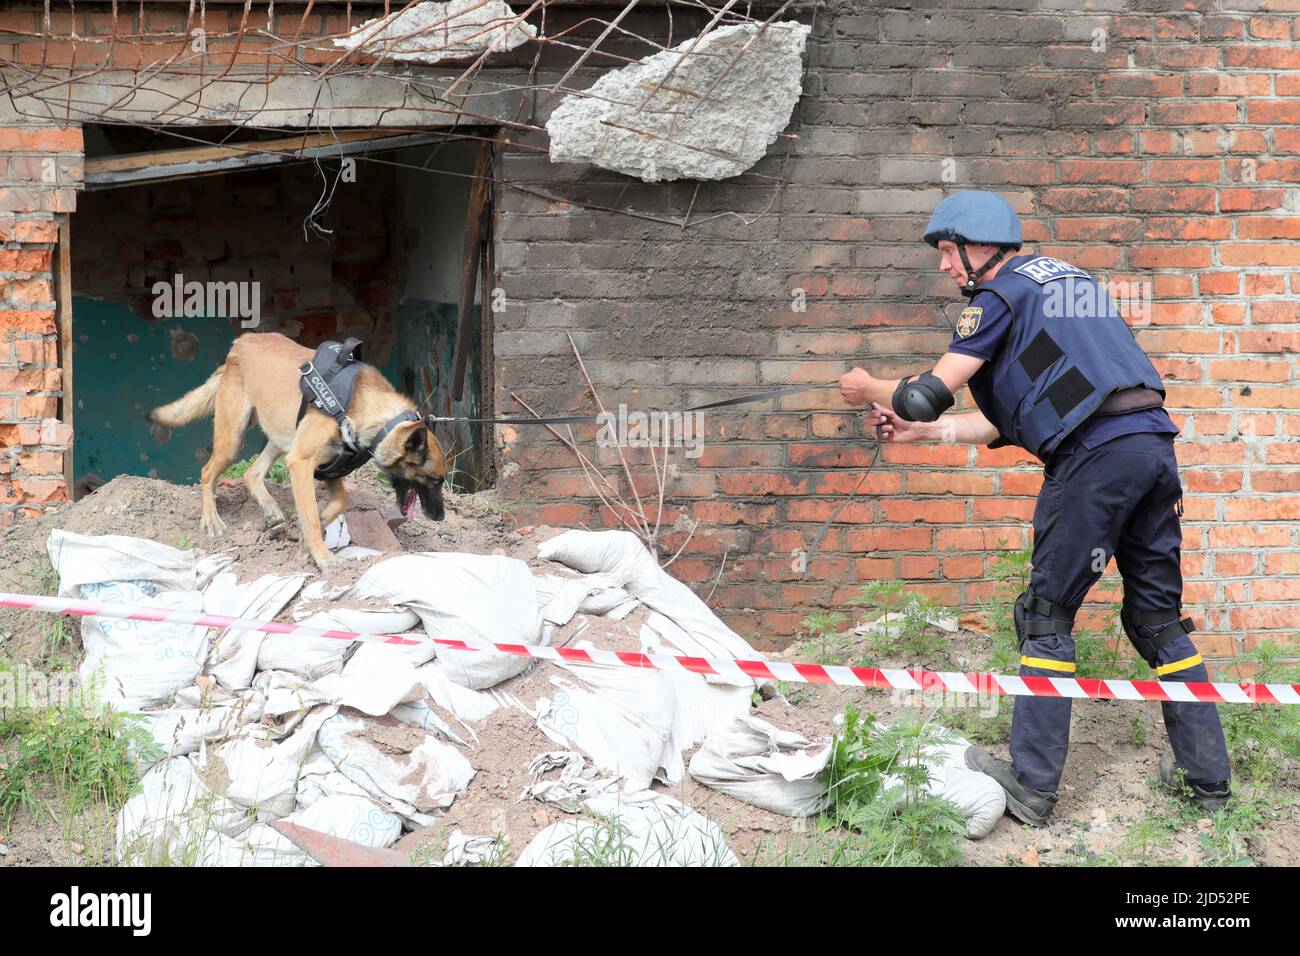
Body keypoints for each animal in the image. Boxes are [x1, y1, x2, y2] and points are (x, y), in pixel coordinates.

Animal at [149, 332, 447, 567]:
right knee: (208, 472)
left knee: (251, 473)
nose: (441, 517)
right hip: (233, 442)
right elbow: (312, 519)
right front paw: (323, 557)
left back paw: (269, 507)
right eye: (435, 480)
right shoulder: (302, 463)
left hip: (283, 439)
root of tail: (239, 344)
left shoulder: (328, 467)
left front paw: (319, 521)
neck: (363, 408)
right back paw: (211, 518)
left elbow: (339, 503)